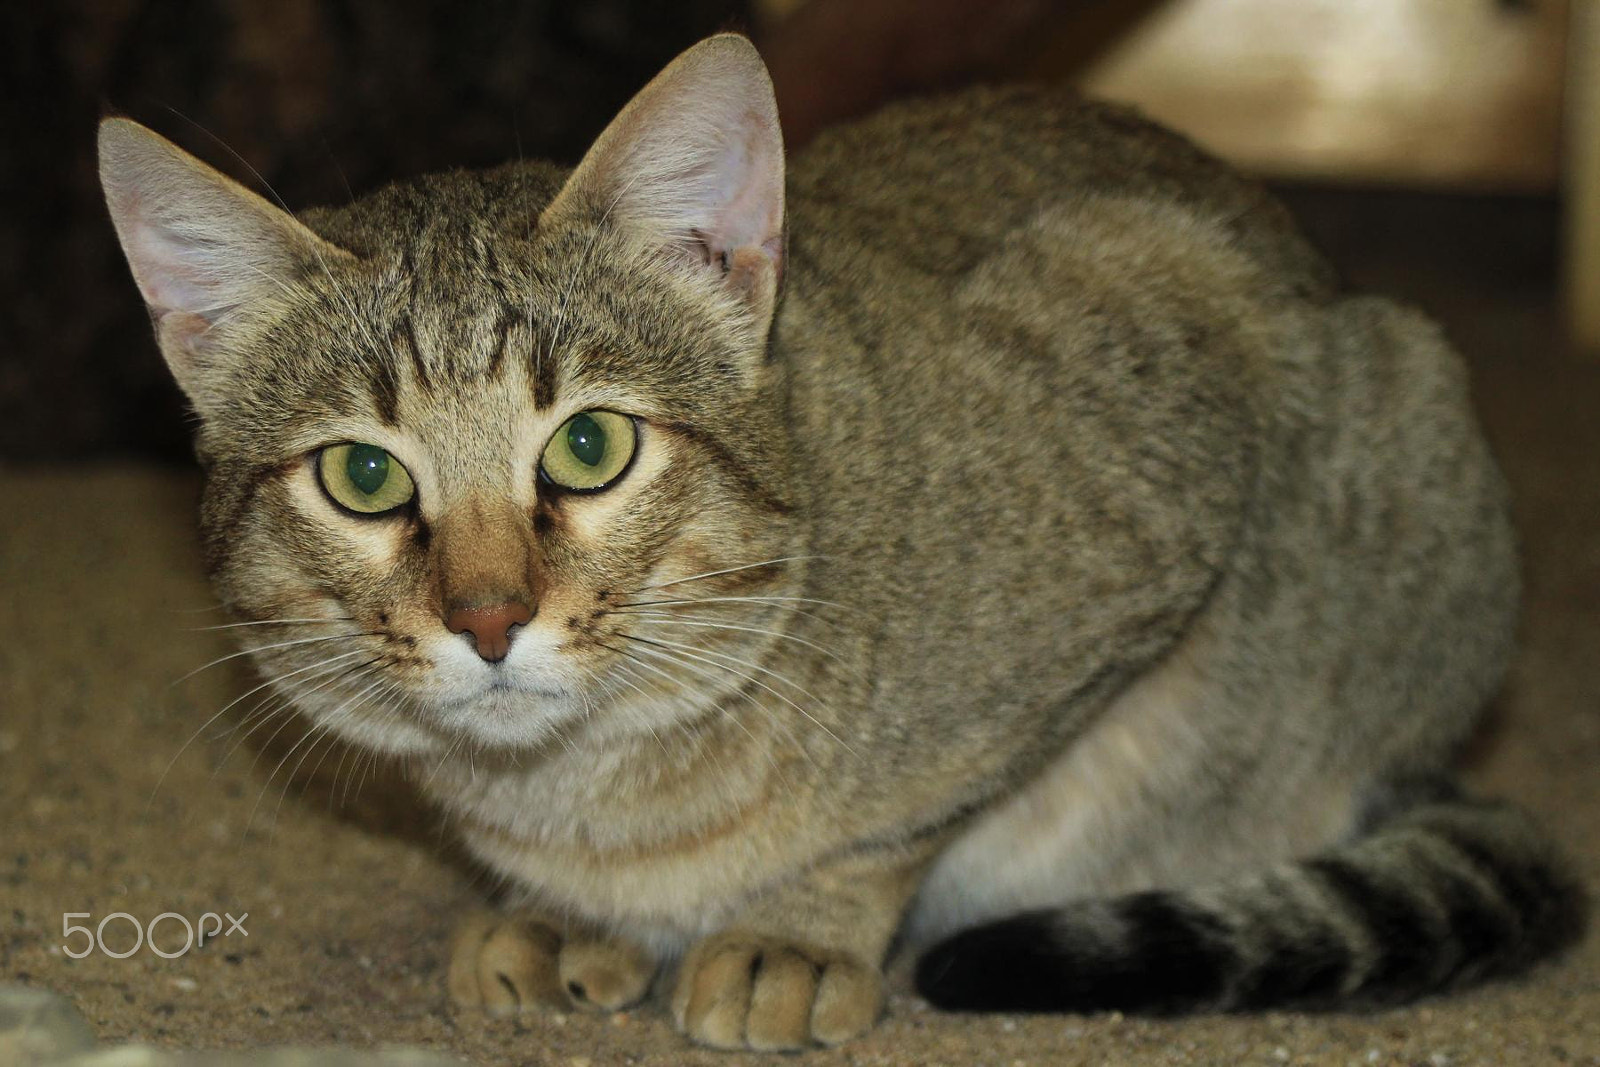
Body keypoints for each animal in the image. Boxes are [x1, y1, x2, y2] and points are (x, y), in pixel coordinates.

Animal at [100, 31, 1587, 1049]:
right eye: (362, 475)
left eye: (590, 446)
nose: (486, 616)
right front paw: (580, 914)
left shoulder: (1164, 374)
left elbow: (911, 809)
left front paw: (796, 923)